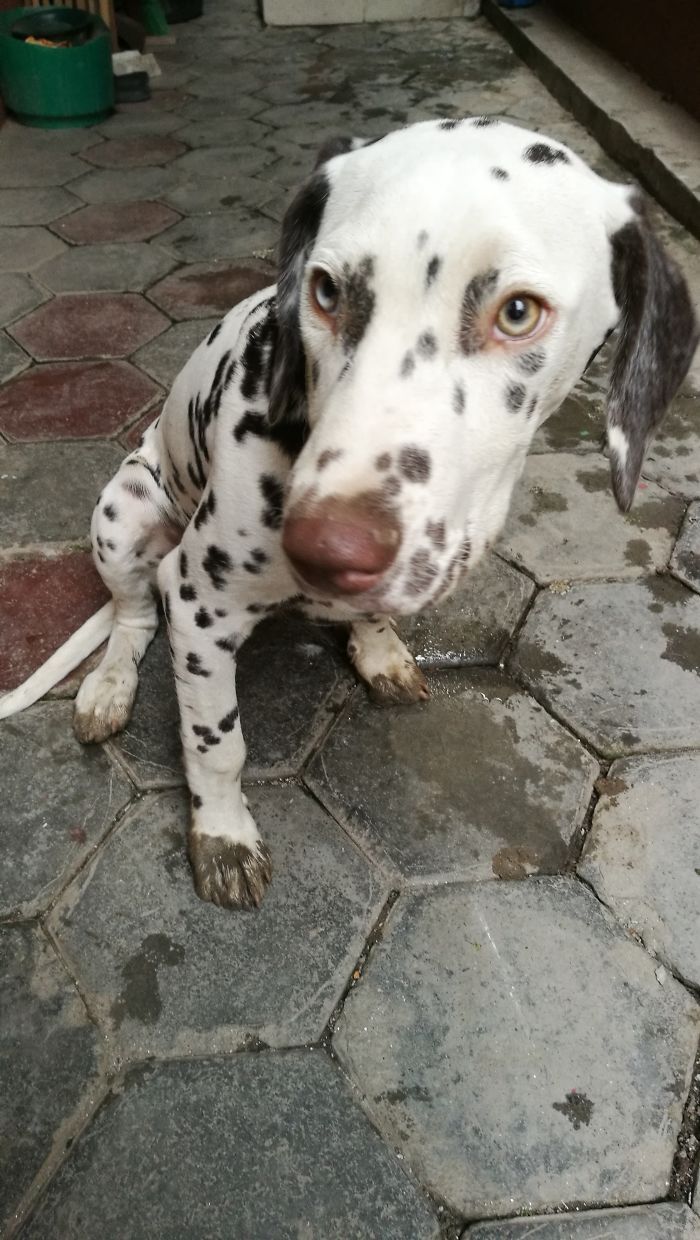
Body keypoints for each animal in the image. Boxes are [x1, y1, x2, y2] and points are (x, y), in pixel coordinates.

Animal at [2, 118, 693, 912]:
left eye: (518, 311)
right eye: (326, 290)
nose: (327, 549)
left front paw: (379, 646)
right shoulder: (200, 604)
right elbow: (217, 743)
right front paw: (222, 834)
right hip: (125, 516)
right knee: (132, 617)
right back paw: (110, 686)